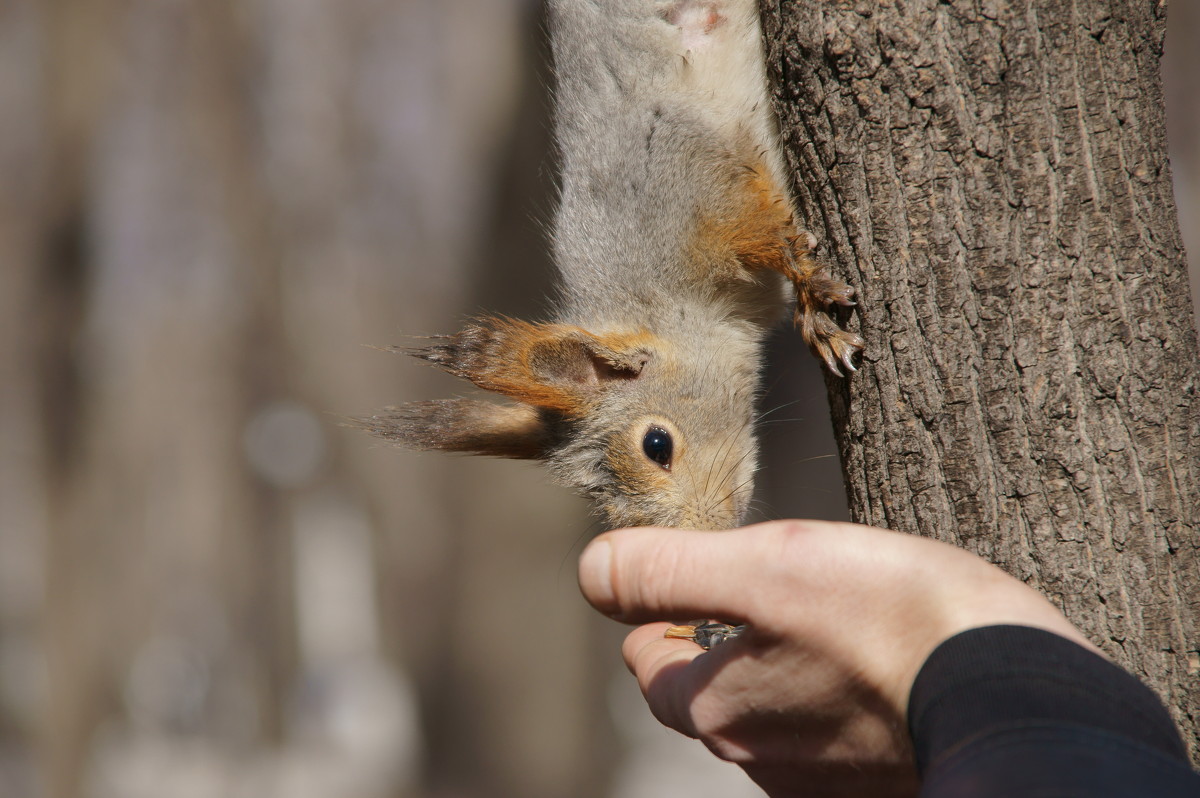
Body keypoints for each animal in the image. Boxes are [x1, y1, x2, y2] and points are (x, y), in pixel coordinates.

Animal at [355, 1, 864, 535]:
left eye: (656, 445)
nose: (709, 532)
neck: (659, 303)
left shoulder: (689, 186)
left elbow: (771, 238)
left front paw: (817, 306)